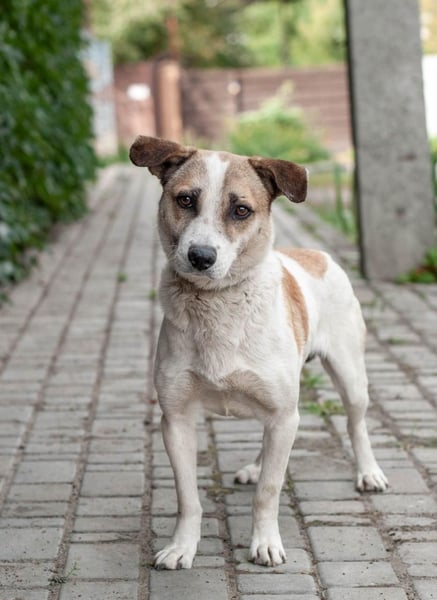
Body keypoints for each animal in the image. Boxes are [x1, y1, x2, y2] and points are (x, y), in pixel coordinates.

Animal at [129, 135, 388, 570]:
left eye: (241, 210)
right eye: (185, 199)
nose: (201, 256)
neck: (217, 305)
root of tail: (314, 253)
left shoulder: (284, 415)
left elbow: (269, 490)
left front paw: (265, 542)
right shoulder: (176, 419)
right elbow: (188, 497)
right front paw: (183, 546)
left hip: (350, 376)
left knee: (356, 424)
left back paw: (368, 472)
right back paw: (254, 466)